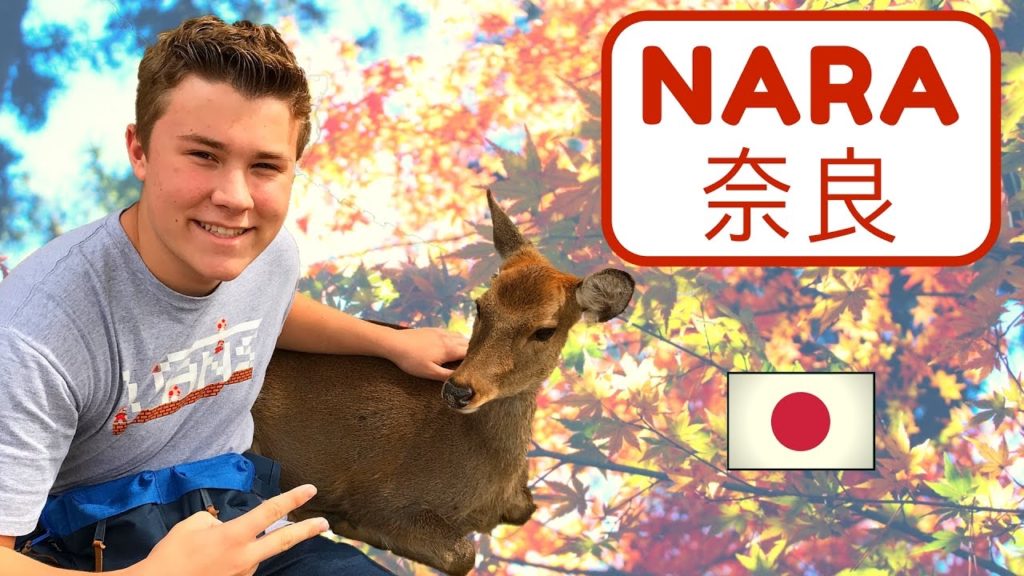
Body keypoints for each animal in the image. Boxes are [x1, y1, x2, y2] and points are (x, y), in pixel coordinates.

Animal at [251, 190, 635, 575]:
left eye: (545, 331)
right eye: (480, 305)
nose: (458, 389)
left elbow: (524, 510)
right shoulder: (383, 496)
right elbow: (463, 554)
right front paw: (340, 519)